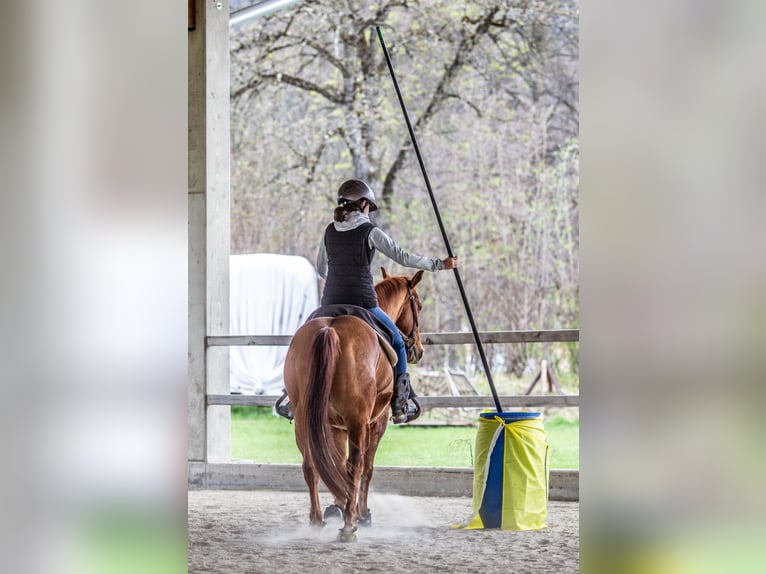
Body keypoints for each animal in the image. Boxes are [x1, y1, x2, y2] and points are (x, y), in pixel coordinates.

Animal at [282, 267, 425, 542]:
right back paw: (350, 524)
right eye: (420, 306)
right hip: (358, 422)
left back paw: (317, 520)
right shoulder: (375, 421)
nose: (419, 350)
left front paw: (339, 506)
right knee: (356, 466)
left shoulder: (335, 425)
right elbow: (365, 467)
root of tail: (330, 330)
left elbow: (334, 463)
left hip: (305, 418)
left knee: (311, 465)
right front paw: (362, 513)